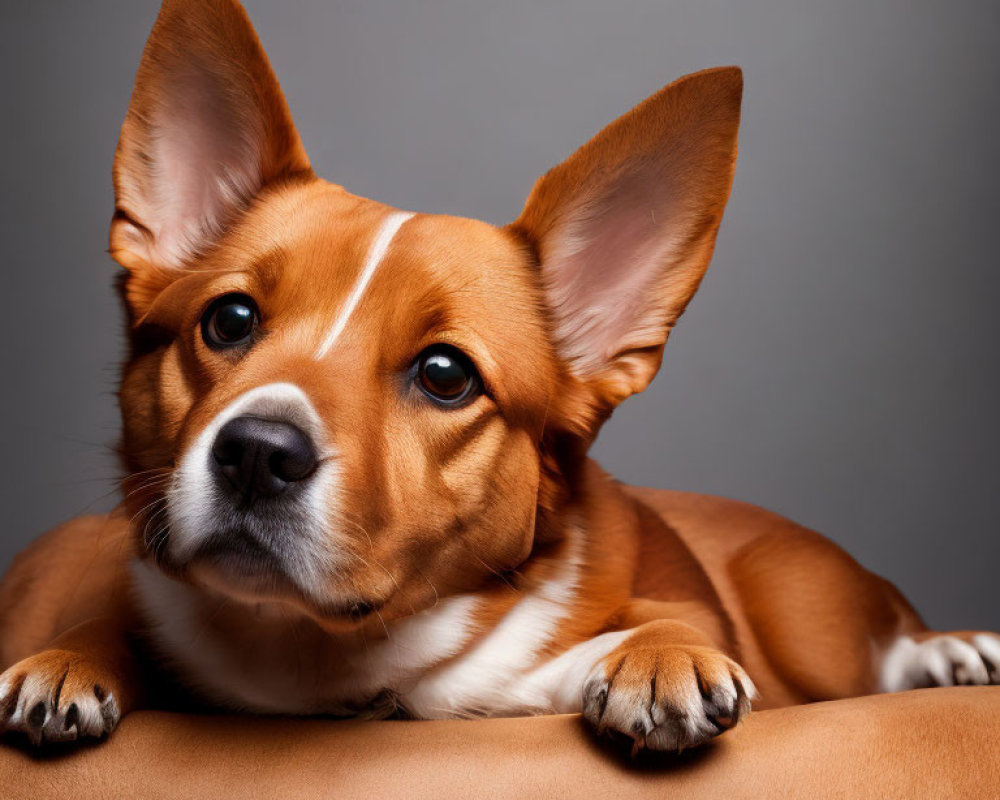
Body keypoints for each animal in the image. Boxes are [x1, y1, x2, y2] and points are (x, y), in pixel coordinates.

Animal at [1, 0, 1000, 752]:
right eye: (230, 321)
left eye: (446, 375)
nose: (256, 453)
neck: (326, 660)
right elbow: (112, 626)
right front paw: (70, 657)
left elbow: (673, 620)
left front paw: (662, 656)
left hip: (806, 607)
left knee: (881, 648)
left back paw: (952, 654)